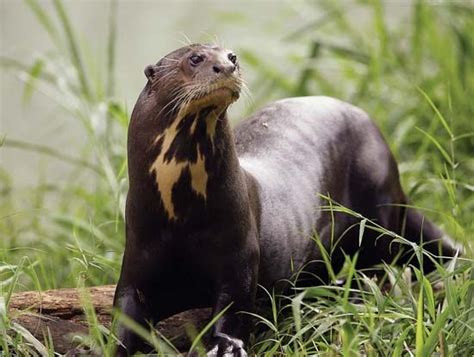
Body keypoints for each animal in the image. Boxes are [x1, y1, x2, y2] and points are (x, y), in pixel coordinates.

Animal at [114, 44, 456, 356]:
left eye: (232, 55)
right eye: (195, 58)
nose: (227, 66)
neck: (180, 216)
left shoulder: (239, 252)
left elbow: (235, 306)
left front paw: (225, 347)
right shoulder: (138, 251)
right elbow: (124, 309)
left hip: (376, 198)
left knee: (380, 261)